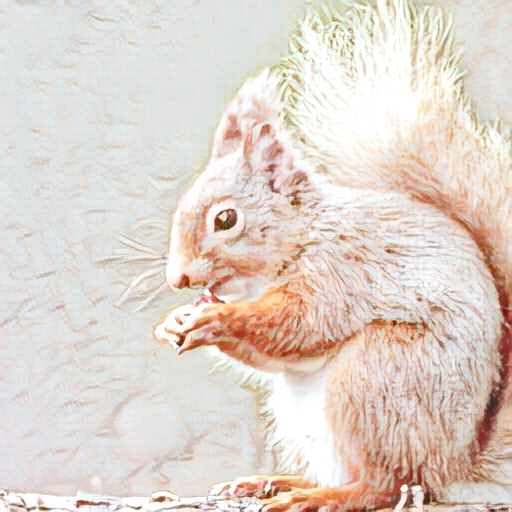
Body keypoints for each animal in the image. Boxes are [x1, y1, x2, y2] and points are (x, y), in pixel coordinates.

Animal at [155, 0, 512, 510]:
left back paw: (319, 497)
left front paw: (217, 318)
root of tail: (454, 465)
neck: (301, 236)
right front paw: (174, 323)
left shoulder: (339, 272)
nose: (178, 280)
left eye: (225, 219)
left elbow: (300, 323)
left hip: (376, 379)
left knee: (386, 484)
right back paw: (275, 483)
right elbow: (276, 355)